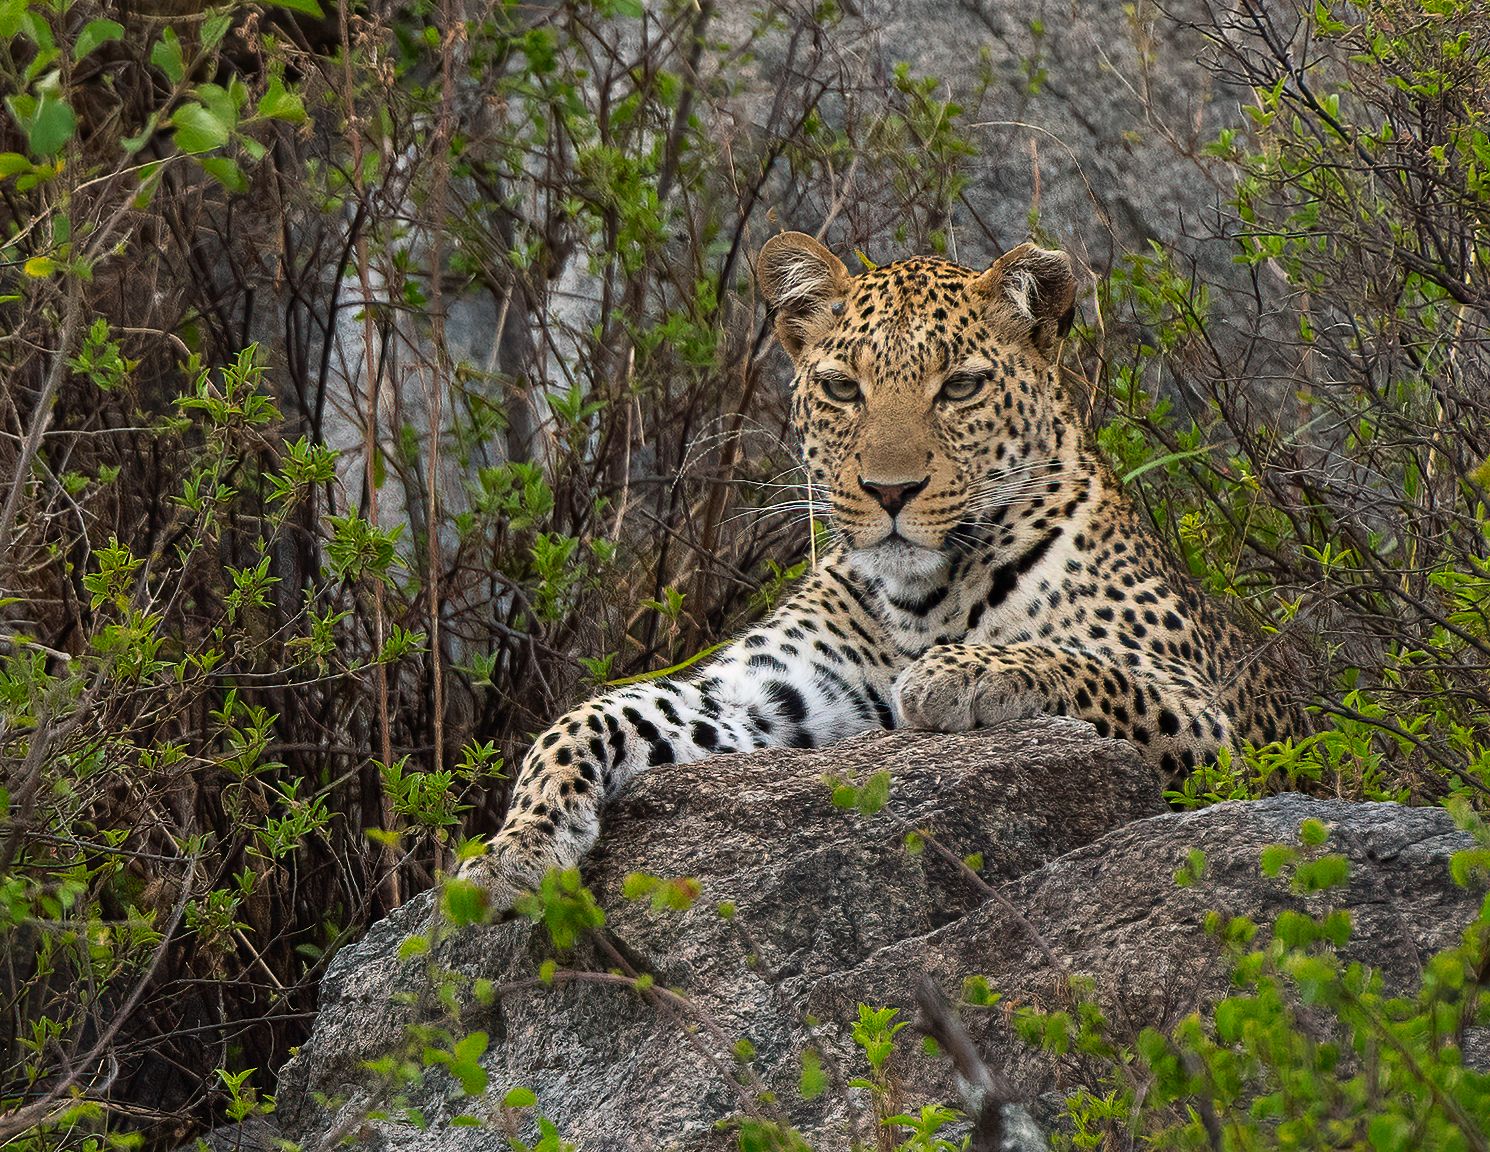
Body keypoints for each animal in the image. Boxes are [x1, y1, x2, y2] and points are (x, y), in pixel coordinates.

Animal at [459, 230, 1306, 909]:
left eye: (960, 386)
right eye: (843, 388)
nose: (890, 491)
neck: (922, 598)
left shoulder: (1215, 726)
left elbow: (1085, 663)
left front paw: (961, 675)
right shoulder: (776, 697)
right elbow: (589, 715)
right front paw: (512, 851)